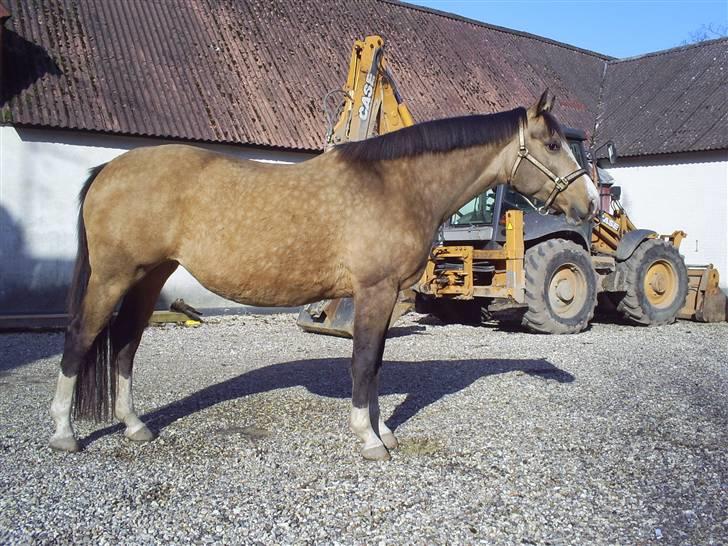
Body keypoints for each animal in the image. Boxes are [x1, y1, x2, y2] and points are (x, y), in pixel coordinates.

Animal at [49, 90, 596, 460]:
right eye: (552, 144)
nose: (590, 204)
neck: (396, 185)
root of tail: (107, 170)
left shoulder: (385, 297)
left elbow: (376, 364)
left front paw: (383, 430)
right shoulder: (374, 292)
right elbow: (363, 364)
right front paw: (369, 440)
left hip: (149, 277)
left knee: (124, 344)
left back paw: (134, 425)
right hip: (113, 278)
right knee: (80, 338)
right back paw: (64, 434)